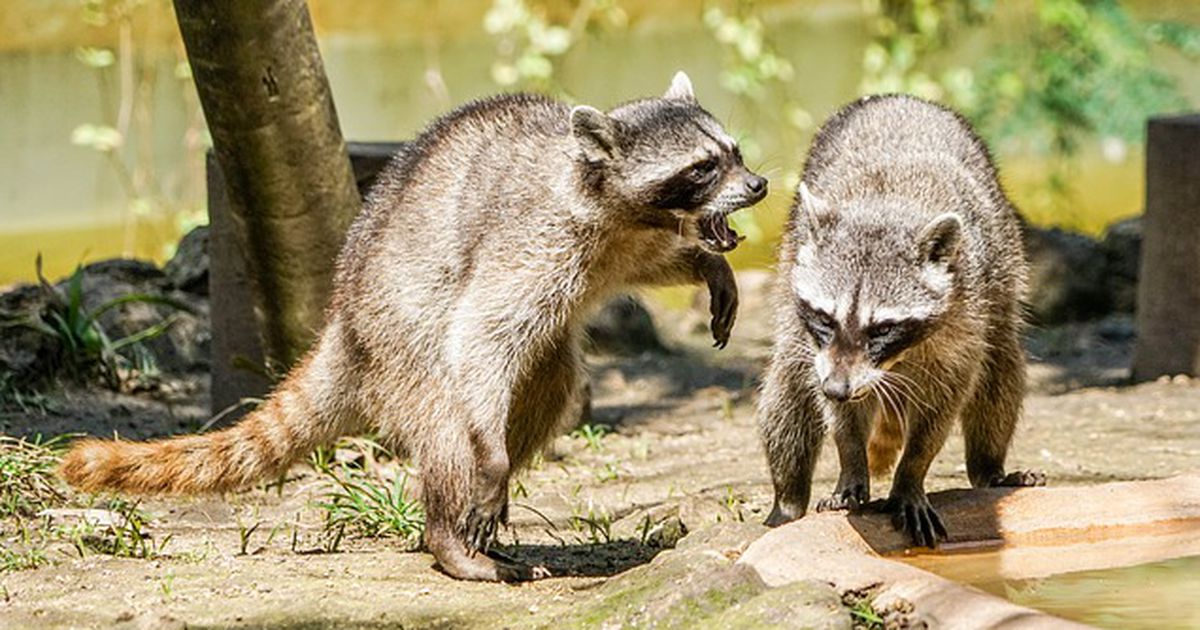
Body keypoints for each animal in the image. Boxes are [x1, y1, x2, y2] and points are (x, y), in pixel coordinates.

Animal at [58, 73, 768, 580]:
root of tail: (343, 326)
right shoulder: (533, 238)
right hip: (401, 341)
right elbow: (482, 332)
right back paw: (450, 529)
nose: (759, 184)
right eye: (703, 168)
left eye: (733, 152)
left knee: (548, 387)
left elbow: (654, 261)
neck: (612, 198)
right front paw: (487, 468)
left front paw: (704, 262)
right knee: (455, 416)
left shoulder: (620, 241)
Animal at [758, 94, 1041, 549]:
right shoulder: (816, 338)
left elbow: (944, 402)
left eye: (882, 328)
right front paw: (850, 460)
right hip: (790, 265)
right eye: (826, 319)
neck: (885, 205)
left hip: (1003, 266)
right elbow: (831, 409)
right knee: (787, 388)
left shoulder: (965, 312)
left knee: (1000, 367)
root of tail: (900, 97)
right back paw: (787, 498)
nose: (838, 388)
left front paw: (912, 473)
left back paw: (989, 467)